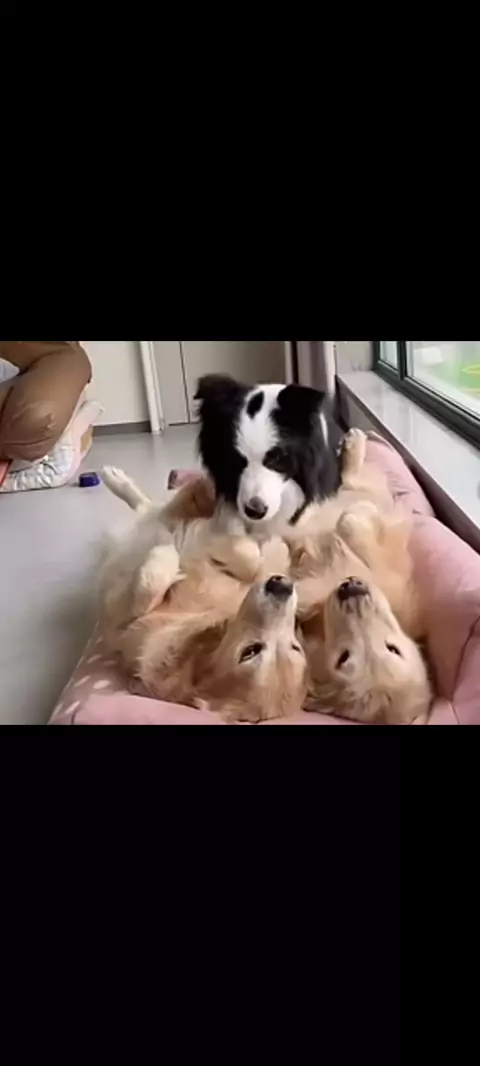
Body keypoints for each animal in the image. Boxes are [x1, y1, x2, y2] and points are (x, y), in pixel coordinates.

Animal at [99, 467, 307, 723]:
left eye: (249, 652)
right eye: (296, 647)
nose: (282, 585)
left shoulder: (125, 621)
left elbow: (147, 587)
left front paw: (165, 555)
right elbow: (253, 560)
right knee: (156, 505)